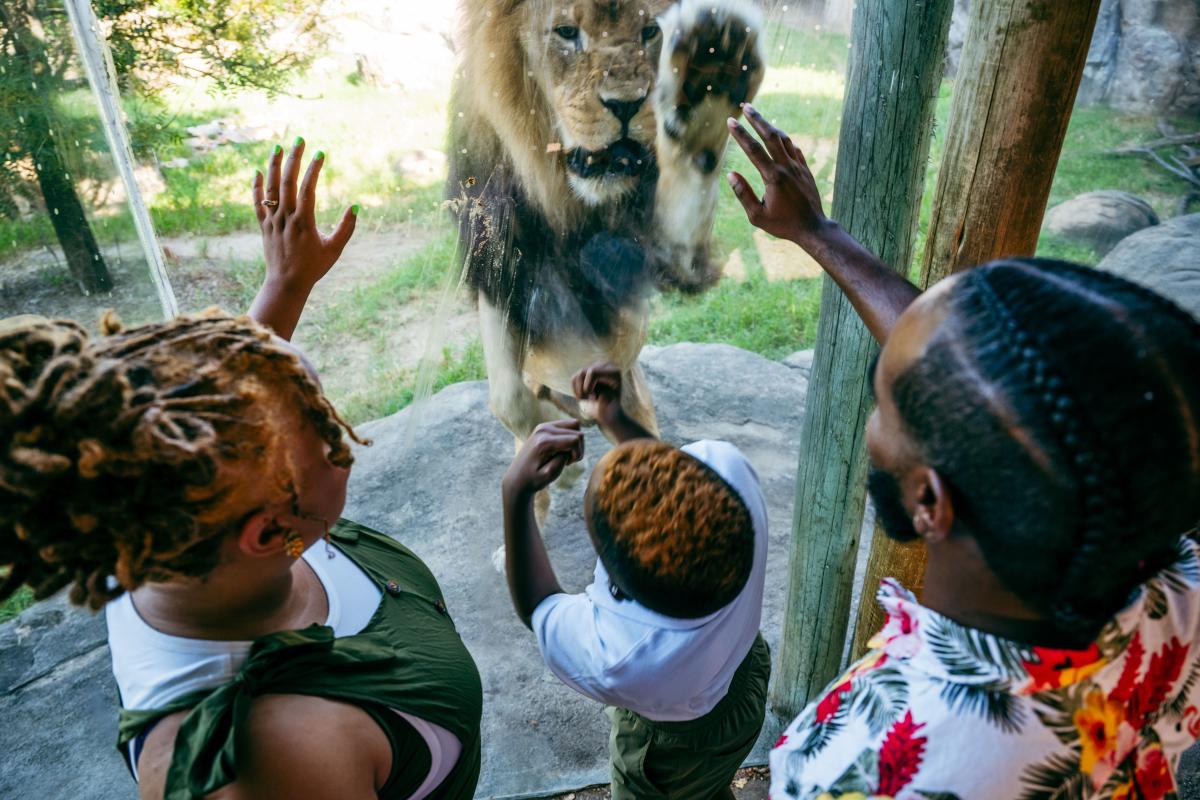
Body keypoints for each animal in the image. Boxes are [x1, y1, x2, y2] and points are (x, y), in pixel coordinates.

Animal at [448, 0, 766, 452]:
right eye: (566, 32)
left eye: (650, 31)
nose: (627, 105)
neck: (569, 199)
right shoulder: (497, 260)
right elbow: (508, 398)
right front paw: (546, 438)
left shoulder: (664, 253)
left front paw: (711, 73)